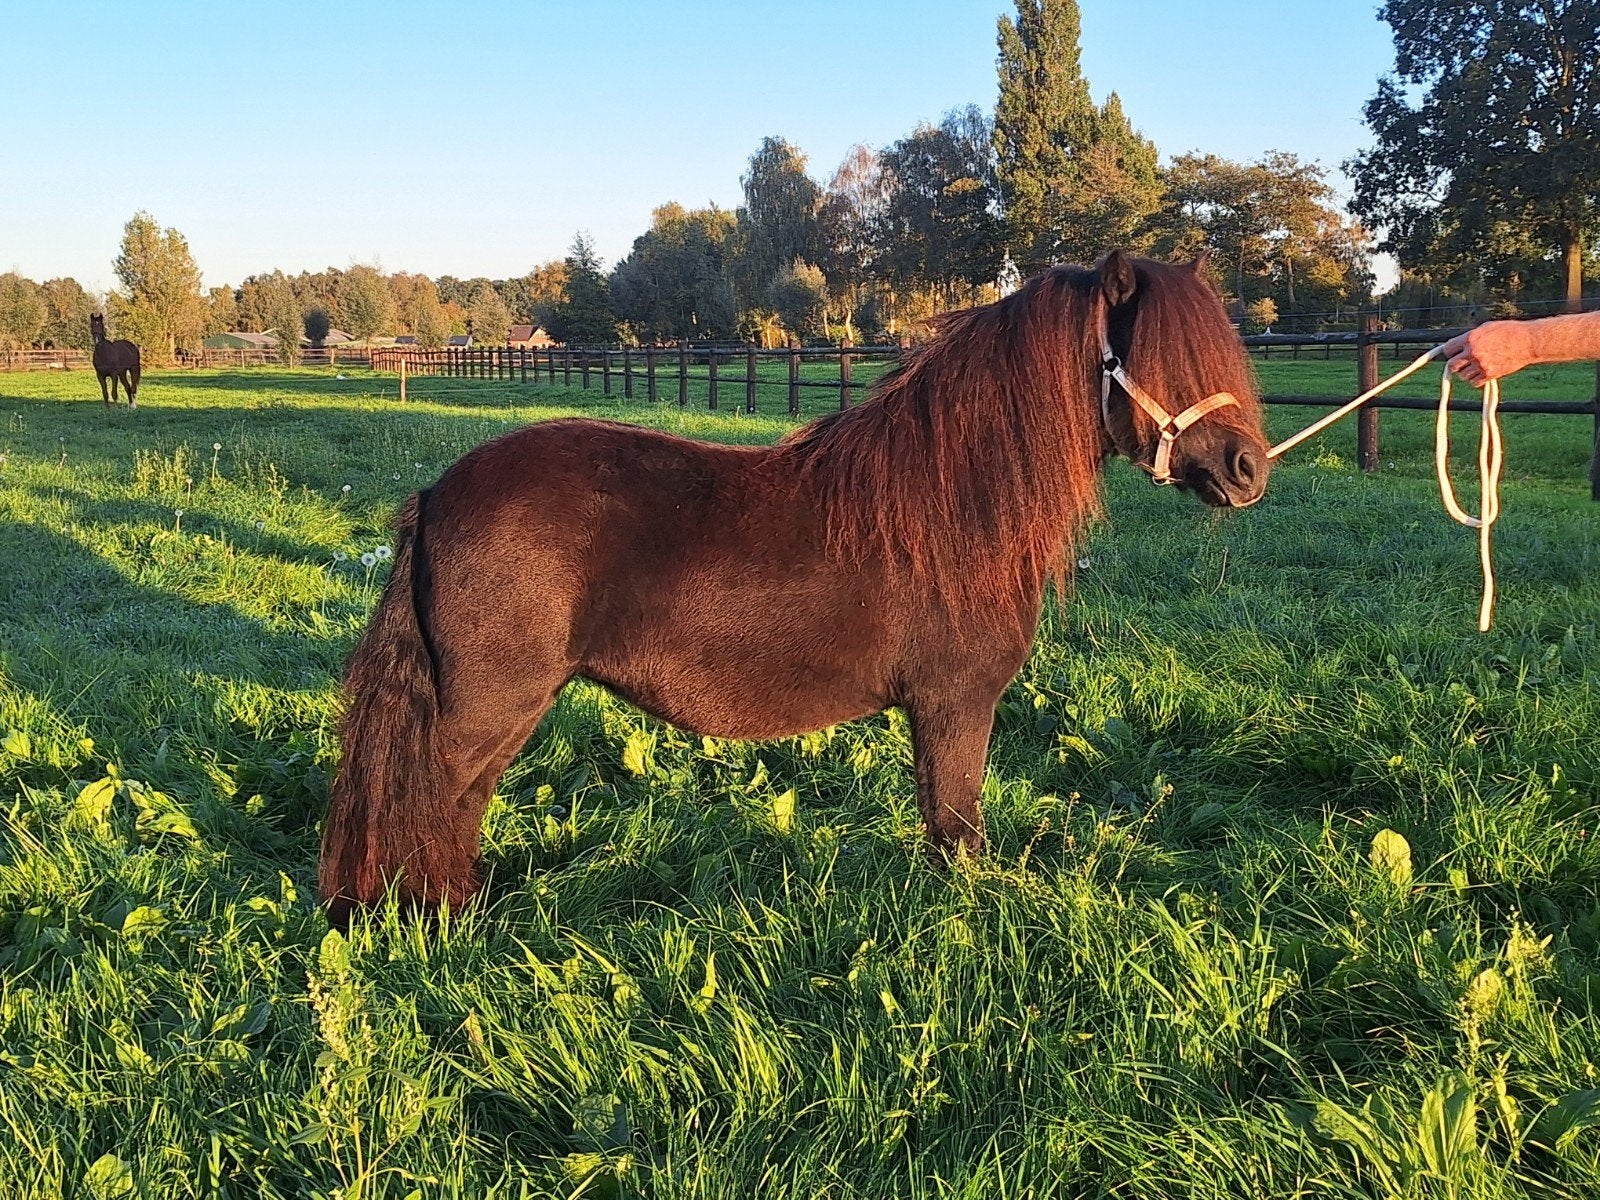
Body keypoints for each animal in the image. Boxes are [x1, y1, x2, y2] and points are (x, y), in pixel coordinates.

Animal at [318, 250, 1271, 927]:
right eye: (1166, 359)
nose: (1248, 469)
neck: (952, 503)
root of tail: (437, 493)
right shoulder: (955, 704)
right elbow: (957, 830)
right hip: (488, 708)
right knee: (436, 801)